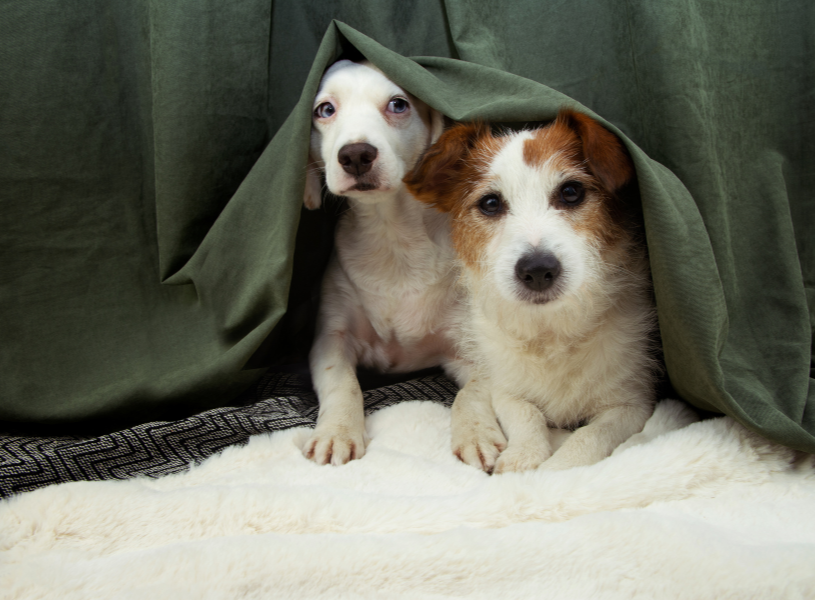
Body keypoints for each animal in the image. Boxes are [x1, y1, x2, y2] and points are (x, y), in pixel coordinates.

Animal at [302, 59, 462, 464]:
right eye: (325, 110)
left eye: (398, 104)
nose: (356, 154)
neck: (392, 239)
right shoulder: (331, 339)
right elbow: (343, 384)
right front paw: (337, 432)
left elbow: (479, 392)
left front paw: (477, 431)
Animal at [404, 109, 660, 474]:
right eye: (490, 203)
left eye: (571, 192)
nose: (537, 270)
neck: (550, 331)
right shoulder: (506, 389)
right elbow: (526, 414)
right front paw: (523, 456)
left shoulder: (631, 404)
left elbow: (590, 435)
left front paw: (556, 471)